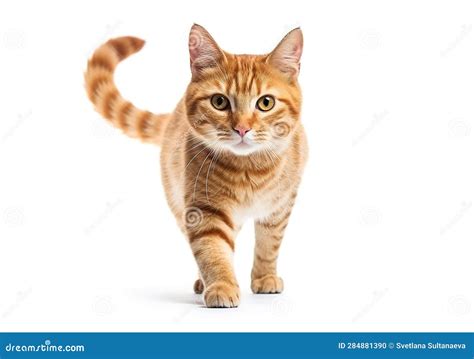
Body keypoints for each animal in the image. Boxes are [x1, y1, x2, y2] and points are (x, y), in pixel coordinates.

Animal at [85, 24, 308, 310]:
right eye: (219, 102)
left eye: (265, 103)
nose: (242, 128)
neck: (249, 170)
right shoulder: (203, 210)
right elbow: (212, 250)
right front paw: (222, 284)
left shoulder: (279, 208)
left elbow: (269, 245)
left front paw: (264, 277)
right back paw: (203, 281)